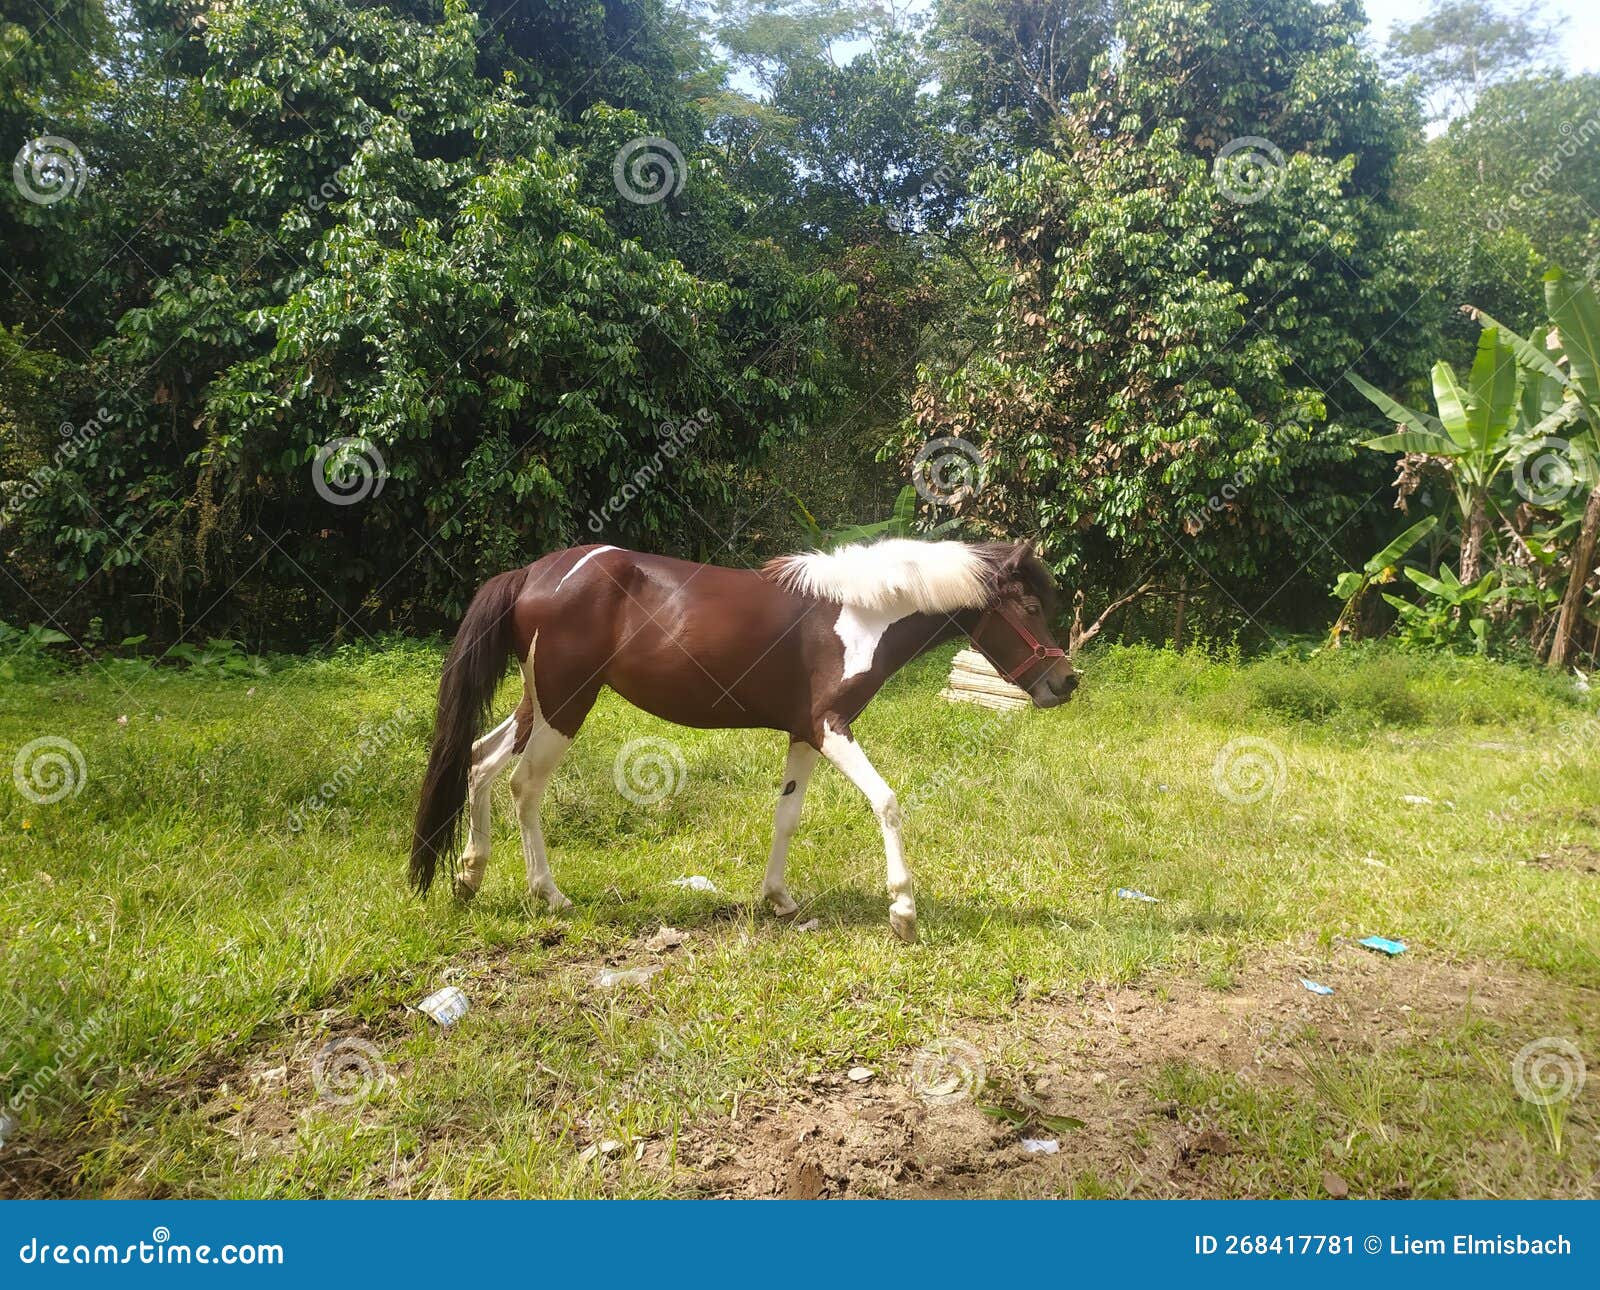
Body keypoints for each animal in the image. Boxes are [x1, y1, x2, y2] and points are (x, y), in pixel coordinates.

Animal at [409, 538, 1078, 942]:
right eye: (1028, 605)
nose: (1066, 682)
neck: (859, 613)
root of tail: (533, 573)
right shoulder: (831, 728)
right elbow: (887, 802)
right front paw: (903, 912)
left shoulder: (804, 735)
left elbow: (787, 816)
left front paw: (779, 899)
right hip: (565, 707)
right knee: (523, 787)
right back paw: (550, 895)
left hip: (539, 704)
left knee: (479, 763)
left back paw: (469, 878)